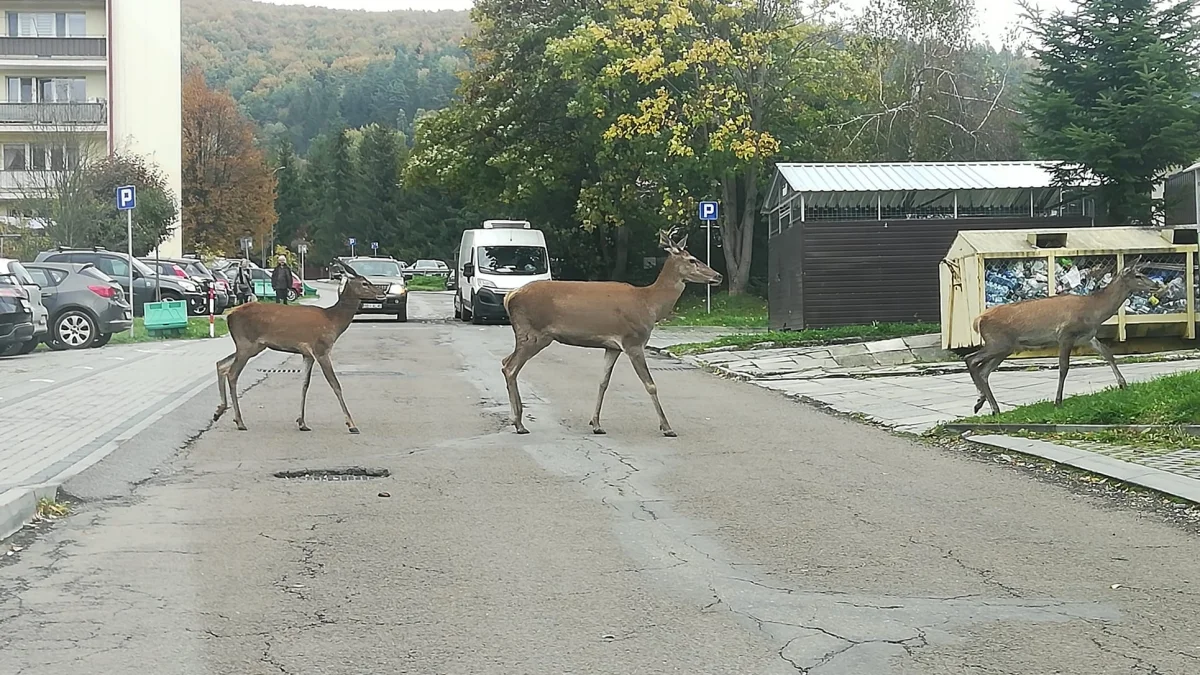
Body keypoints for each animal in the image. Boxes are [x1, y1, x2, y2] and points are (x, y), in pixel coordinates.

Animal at [213, 260, 376, 432]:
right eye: (364, 283)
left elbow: (305, 384)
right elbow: (335, 384)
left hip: (252, 346)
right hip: (246, 343)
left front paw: (302, 422)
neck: (333, 321)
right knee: (232, 374)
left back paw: (219, 411)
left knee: (221, 364)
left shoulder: (307, 354)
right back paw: (239, 421)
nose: (382, 292)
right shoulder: (321, 349)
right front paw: (352, 424)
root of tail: (229, 315)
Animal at [499, 227, 720, 437]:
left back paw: (516, 419)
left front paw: (596, 424)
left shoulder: (613, 346)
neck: (650, 304)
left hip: (527, 335)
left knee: (505, 362)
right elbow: (650, 384)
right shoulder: (633, 342)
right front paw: (667, 427)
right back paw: (519, 423)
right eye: (692, 260)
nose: (718, 275)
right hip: (534, 334)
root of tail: (510, 296)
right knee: (510, 367)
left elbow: (603, 382)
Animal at [964, 258, 1161, 415]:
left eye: (1142, 273)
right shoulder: (1066, 334)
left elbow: (1108, 353)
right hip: (998, 342)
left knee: (984, 371)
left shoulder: (1087, 336)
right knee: (971, 359)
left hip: (1006, 347)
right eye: (1138, 275)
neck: (1095, 311)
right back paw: (987, 405)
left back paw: (986, 405)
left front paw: (1123, 384)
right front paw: (1057, 401)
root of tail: (977, 320)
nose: (1157, 285)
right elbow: (1064, 367)